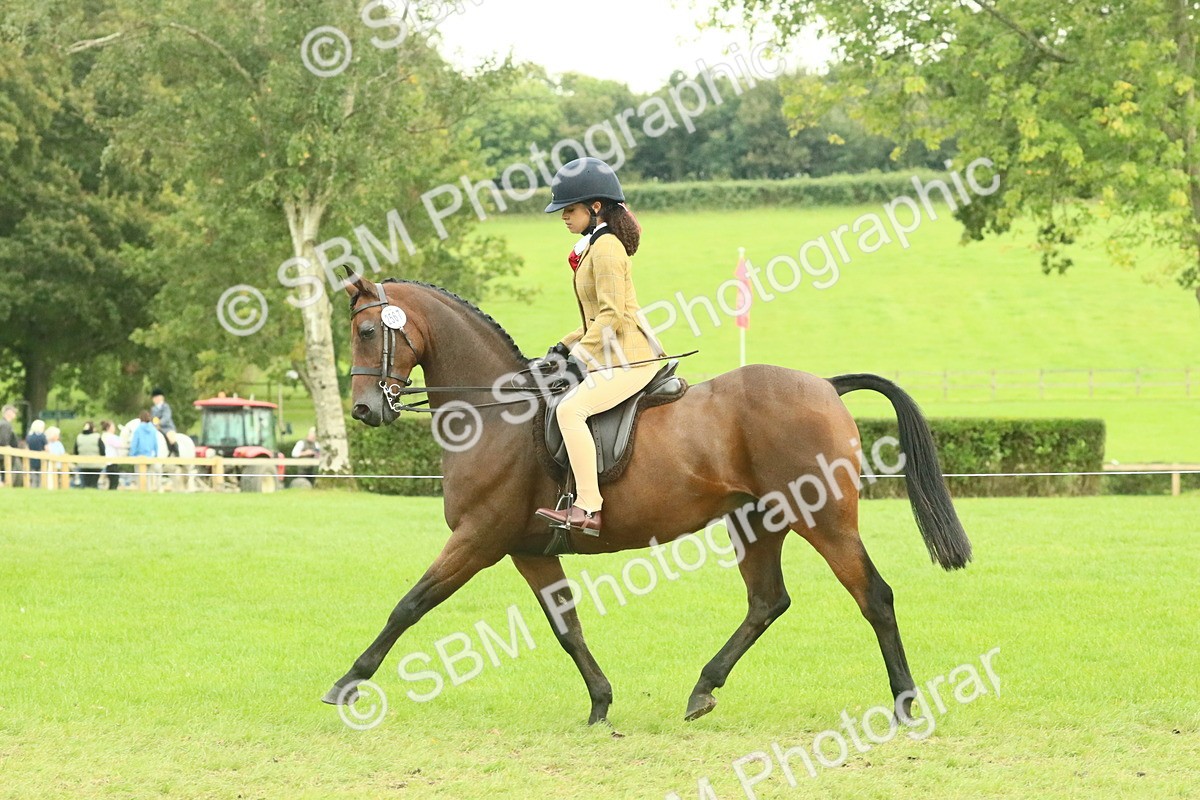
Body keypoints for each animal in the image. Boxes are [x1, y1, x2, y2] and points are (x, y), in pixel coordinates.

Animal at [322, 277, 972, 726]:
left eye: (366, 332)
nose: (365, 410)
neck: (495, 411)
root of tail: (825, 387)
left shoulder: (479, 538)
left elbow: (409, 605)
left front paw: (347, 683)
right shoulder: (528, 548)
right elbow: (567, 627)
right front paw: (600, 702)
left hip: (823, 518)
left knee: (874, 596)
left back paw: (905, 704)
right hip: (756, 521)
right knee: (767, 601)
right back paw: (703, 688)